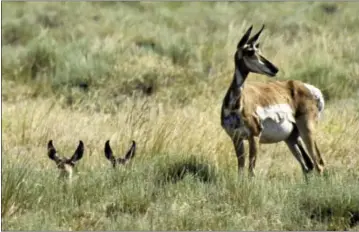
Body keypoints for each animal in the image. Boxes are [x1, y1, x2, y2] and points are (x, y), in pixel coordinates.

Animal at [222, 24, 326, 176]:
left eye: (259, 50)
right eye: (250, 51)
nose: (274, 69)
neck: (236, 105)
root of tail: (307, 88)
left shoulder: (254, 137)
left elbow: (251, 171)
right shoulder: (236, 138)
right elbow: (241, 169)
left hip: (307, 131)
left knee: (318, 164)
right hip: (291, 138)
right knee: (307, 166)